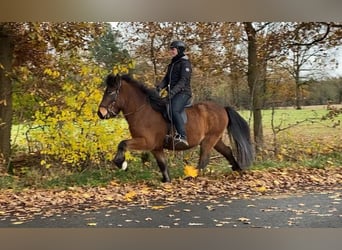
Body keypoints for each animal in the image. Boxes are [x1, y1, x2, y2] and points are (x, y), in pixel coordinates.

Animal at [97, 73, 252, 183]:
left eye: (110, 92)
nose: (100, 113)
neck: (142, 110)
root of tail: (223, 108)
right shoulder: (156, 147)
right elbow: (163, 165)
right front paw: (167, 181)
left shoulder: (146, 141)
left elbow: (122, 143)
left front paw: (121, 163)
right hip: (216, 139)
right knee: (227, 151)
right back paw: (238, 169)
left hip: (209, 139)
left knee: (204, 159)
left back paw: (192, 176)